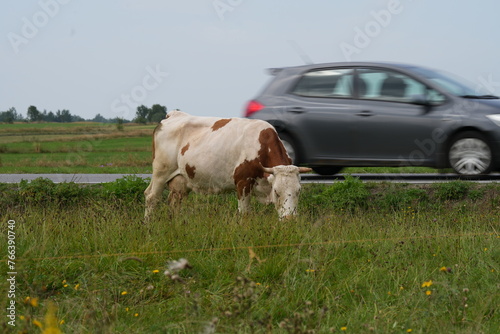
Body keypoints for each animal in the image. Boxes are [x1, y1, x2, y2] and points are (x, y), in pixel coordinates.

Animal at [143, 110, 310, 222]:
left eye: (299, 191)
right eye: (276, 192)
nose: (289, 220)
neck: (261, 145)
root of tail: (175, 114)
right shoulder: (242, 183)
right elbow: (244, 214)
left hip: (180, 181)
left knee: (174, 201)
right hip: (161, 172)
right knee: (151, 197)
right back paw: (148, 225)